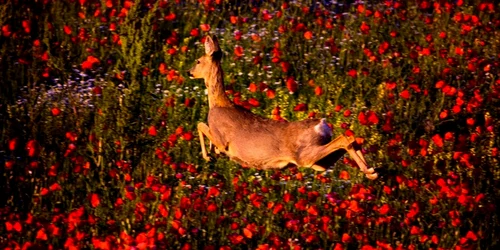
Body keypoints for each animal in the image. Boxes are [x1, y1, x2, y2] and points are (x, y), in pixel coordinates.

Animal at [189, 35, 376, 180]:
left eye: (198, 61)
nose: (189, 72)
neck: (219, 102)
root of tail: (322, 124)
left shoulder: (221, 138)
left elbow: (201, 125)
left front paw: (208, 155)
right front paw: (213, 154)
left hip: (304, 155)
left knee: (344, 138)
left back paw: (370, 171)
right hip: (318, 162)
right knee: (349, 140)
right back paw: (371, 171)